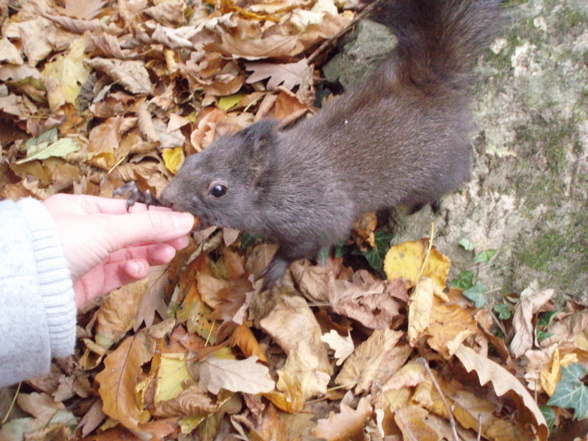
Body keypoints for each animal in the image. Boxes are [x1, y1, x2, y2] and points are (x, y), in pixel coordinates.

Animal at [156, 0, 500, 288]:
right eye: (190, 159)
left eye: (218, 190)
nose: (165, 198)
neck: (278, 182)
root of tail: (432, 86)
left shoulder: (320, 215)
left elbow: (309, 243)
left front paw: (275, 269)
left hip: (439, 168)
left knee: (456, 175)